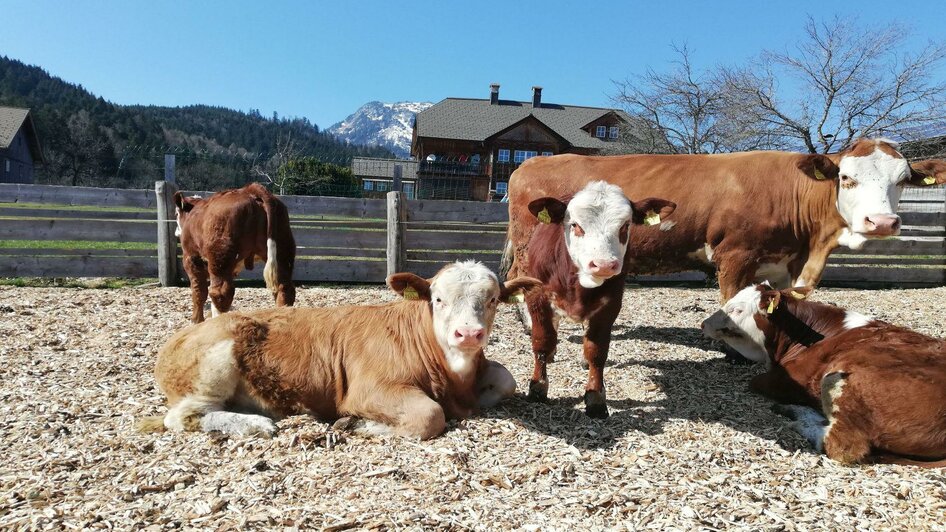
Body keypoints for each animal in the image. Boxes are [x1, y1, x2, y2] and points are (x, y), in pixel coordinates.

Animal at [136, 262, 544, 440]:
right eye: (438, 299)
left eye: (492, 300)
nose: (468, 333)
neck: (451, 377)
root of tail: (178, 338)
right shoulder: (367, 388)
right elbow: (429, 415)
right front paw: (356, 423)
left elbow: (506, 377)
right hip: (216, 361)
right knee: (182, 417)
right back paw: (255, 424)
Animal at [174, 183, 296, 322]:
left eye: (176, 214)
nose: (176, 232)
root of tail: (250, 190)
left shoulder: (191, 258)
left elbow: (199, 292)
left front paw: (196, 320)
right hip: (282, 251)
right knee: (284, 288)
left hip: (219, 258)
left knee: (220, 293)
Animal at [502, 139, 944, 302]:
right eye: (846, 178)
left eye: (903, 180)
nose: (882, 222)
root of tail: (530, 163)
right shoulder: (735, 257)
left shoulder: (783, 266)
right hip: (528, 248)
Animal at [700, 282, 944, 466]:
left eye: (737, 310)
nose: (703, 324)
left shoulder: (787, 378)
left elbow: (755, 381)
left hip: (838, 380)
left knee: (842, 446)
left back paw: (800, 418)